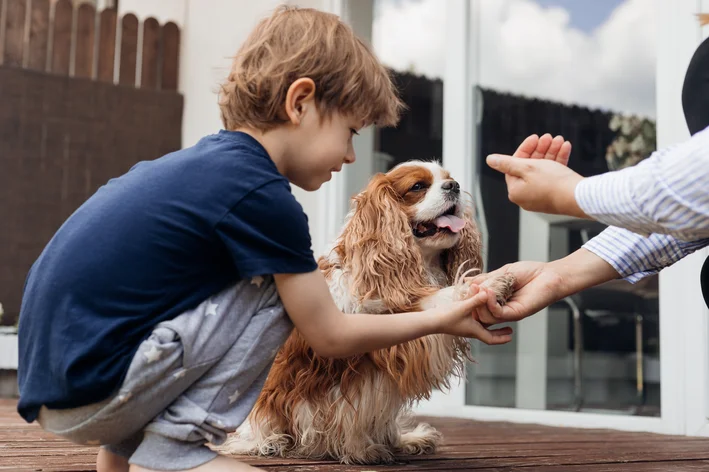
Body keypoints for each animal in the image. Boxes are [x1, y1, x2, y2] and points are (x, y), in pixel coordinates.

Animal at [213, 160, 512, 462]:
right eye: (418, 186)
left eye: (449, 179)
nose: (454, 186)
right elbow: (437, 299)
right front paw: (488, 285)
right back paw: (273, 441)